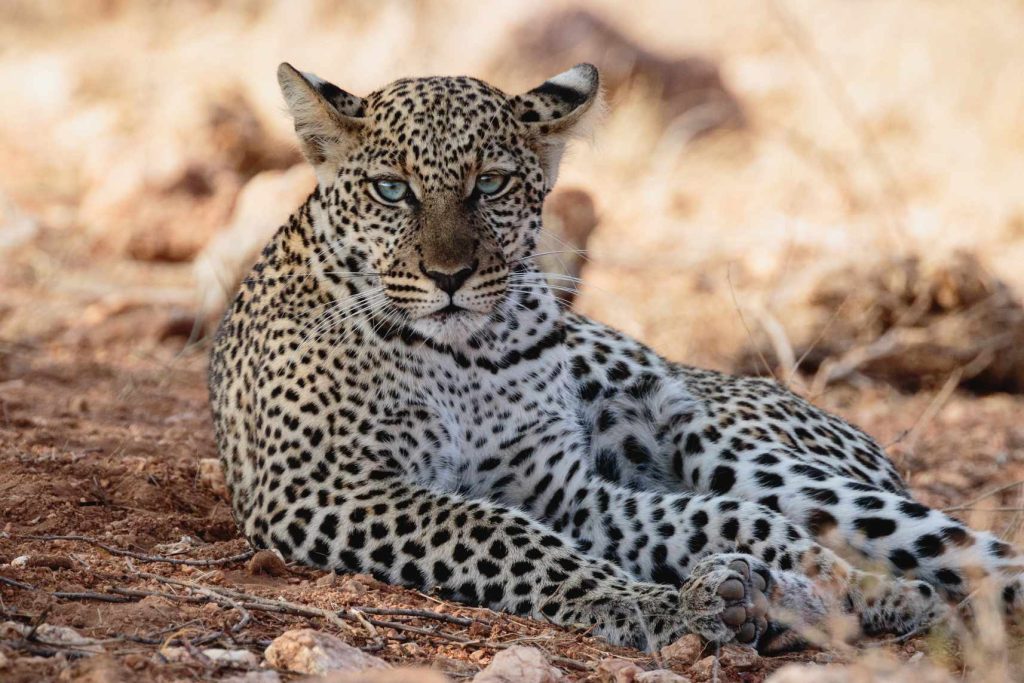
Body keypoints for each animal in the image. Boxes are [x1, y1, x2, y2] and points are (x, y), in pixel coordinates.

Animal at [209, 62, 1024, 653]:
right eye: (390, 190)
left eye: (491, 184)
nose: (450, 276)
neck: (463, 356)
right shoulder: (322, 486)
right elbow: (500, 534)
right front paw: (649, 602)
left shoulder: (561, 491)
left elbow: (695, 520)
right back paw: (773, 598)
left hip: (754, 454)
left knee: (947, 549)